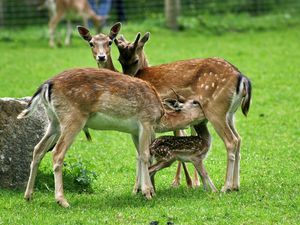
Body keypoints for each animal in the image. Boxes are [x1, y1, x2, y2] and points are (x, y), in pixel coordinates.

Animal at [18, 67, 206, 207]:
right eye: (196, 103)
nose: (208, 115)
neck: (160, 117)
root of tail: (47, 85)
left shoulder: (135, 131)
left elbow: (140, 156)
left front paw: (141, 191)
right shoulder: (145, 122)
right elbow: (145, 156)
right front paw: (147, 192)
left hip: (54, 122)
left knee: (38, 149)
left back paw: (28, 196)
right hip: (72, 118)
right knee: (57, 153)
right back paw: (62, 201)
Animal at [111, 32, 252, 192]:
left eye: (135, 60)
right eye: (119, 59)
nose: (127, 78)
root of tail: (242, 78)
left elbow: (141, 153)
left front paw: (139, 189)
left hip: (216, 111)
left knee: (231, 141)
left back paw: (225, 187)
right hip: (230, 114)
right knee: (239, 139)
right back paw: (235, 185)